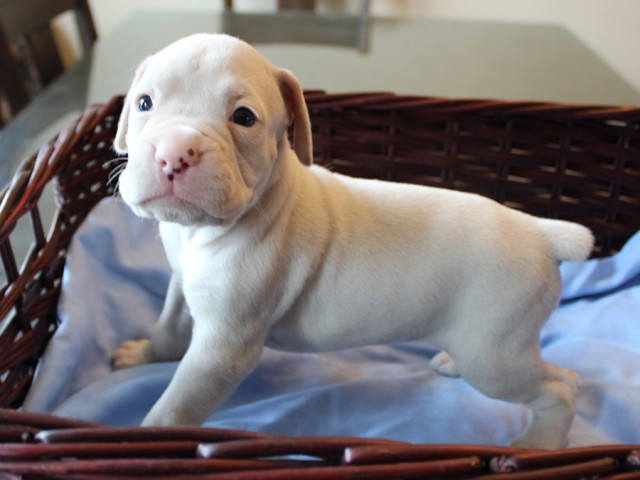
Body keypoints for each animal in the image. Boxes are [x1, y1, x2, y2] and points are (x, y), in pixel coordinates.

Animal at [111, 33, 596, 450]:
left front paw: (147, 441)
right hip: (499, 345)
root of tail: (542, 231)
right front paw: (145, 354)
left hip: (494, 353)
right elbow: (169, 326)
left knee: (555, 390)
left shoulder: (222, 348)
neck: (202, 231)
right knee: (558, 373)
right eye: (144, 103)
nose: (174, 153)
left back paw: (539, 443)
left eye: (243, 118)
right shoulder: (181, 284)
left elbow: (176, 407)